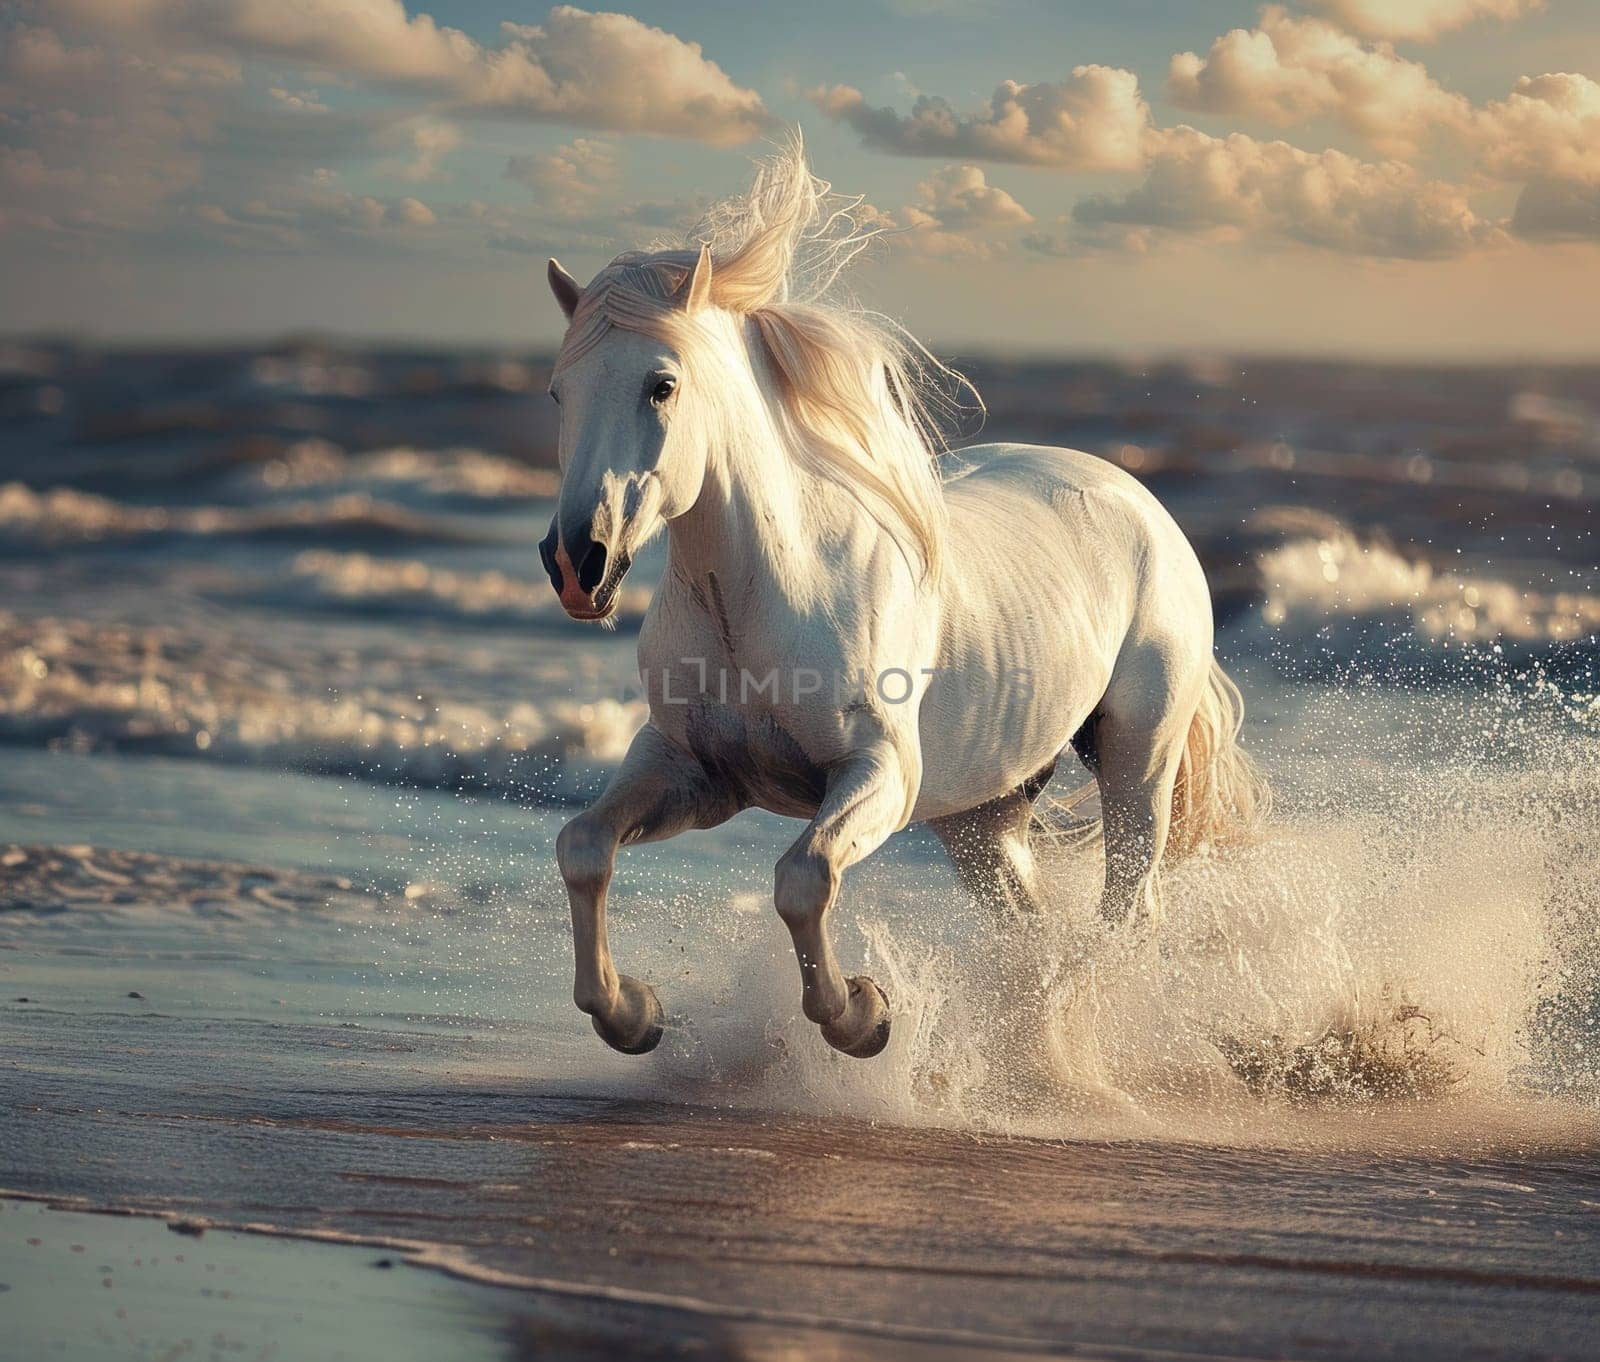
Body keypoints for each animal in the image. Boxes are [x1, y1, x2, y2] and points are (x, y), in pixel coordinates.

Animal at [537, 152, 1260, 1062]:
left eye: (661, 385)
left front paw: (863, 1015)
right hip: (982, 815)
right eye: (559, 393)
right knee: (1035, 927)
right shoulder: (690, 770)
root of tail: (1140, 501)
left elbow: (803, 879)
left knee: (1125, 913)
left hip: (1137, 760)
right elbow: (583, 847)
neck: (762, 599)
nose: (576, 563)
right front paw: (632, 1012)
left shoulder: (878, 772)